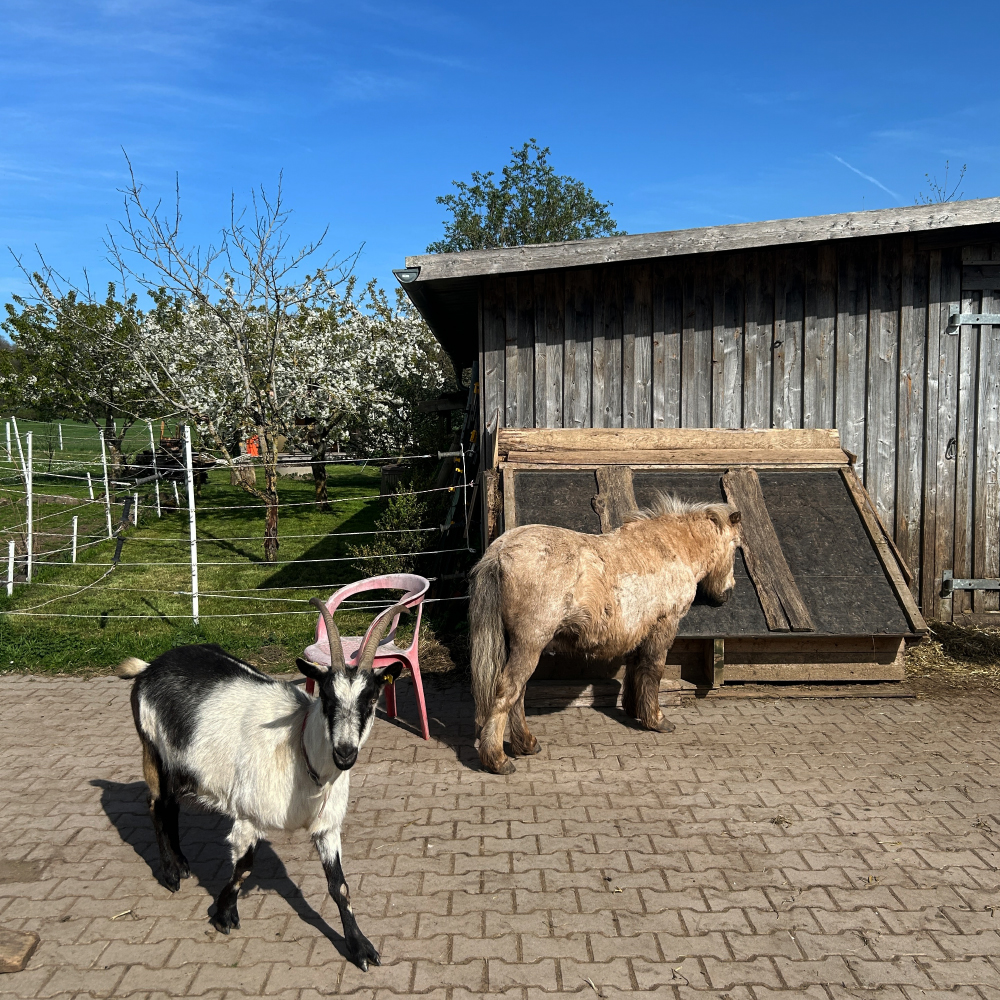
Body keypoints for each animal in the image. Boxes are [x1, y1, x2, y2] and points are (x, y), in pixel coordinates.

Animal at [113, 592, 402, 968]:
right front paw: (223, 914)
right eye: (327, 697)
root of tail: (148, 667)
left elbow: (339, 886)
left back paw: (183, 865)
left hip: (180, 761)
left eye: (371, 699)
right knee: (156, 804)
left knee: (171, 806)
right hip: (153, 749)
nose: (344, 752)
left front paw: (360, 947)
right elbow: (244, 868)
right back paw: (171, 874)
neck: (298, 746)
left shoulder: (327, 826)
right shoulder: (249, 816)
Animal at [470, 492, 744, 772]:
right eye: (736, 546)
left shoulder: (639, 630)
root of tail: (499, 552)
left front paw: (636, 710)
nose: (727, 593)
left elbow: (636, 670)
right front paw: (656, 719)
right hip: (530, 644)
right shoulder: (664, 625)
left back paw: (526, 743)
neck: (670, 547)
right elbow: (653, 670)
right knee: (509, 689)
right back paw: (498, 759)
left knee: (519, 693)